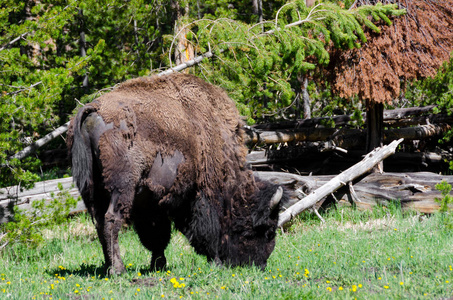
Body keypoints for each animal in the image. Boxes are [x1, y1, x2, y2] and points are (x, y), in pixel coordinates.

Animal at [67, 72, 286, 274]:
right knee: (112, 220)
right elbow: (207, 230)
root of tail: (93, 109)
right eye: (267, 230)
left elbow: (157, 236)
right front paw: (215, 261)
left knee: (99, 223)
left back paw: (108, 266)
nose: (259, 264)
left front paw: (159, 265)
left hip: (91, 189)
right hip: (121, 187)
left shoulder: (152, 203)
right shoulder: (202, 193)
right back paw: (117, 269)